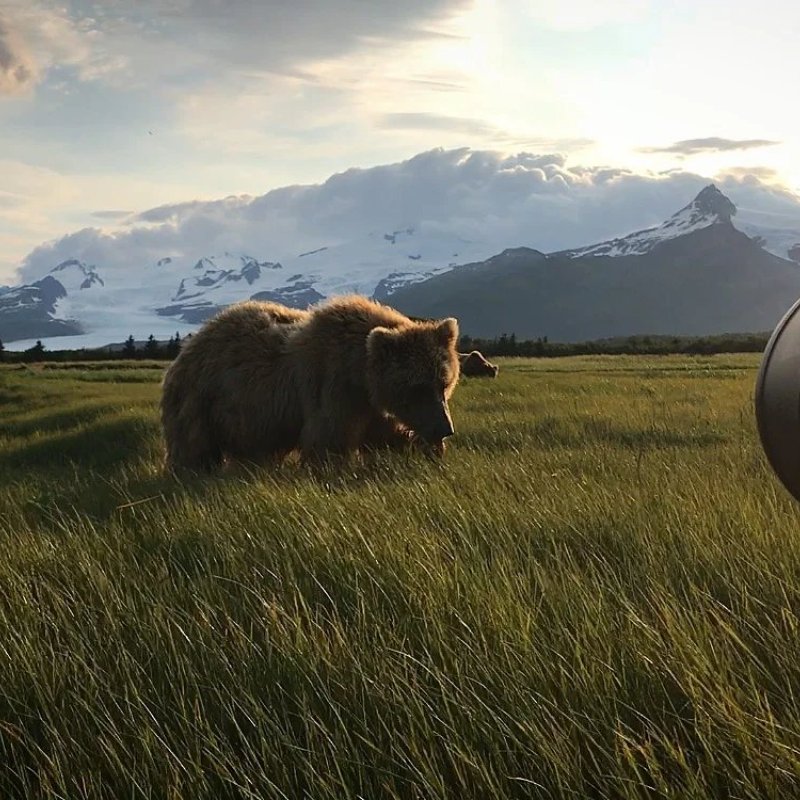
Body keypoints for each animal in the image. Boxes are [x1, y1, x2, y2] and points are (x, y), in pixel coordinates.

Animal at [161, 294, 462, 468]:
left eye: (444, 383)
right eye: (417, 388)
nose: (445, 429)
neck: (361, 374)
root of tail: (185, 350)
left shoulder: (371, 407)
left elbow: (387, 436)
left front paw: (428, 450)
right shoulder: (333, 387)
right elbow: (328, 440)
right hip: (201, 401)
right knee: (194, 448)